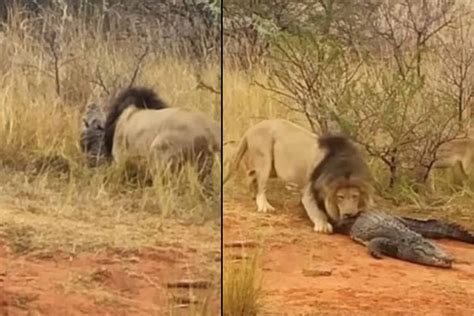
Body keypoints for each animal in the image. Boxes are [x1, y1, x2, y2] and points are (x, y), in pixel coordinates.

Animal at [223, 119, 374, 233]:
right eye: (340, 197)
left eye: (355, 196)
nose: (349, 214)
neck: (342, 165)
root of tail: (252, 128)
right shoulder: (309, 190)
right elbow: (316, 210)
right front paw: (323, 225)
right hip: (265, 158)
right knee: (261, 186)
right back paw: (264, 206)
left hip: (273, 169)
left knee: (251, 174)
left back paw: (253, 195)